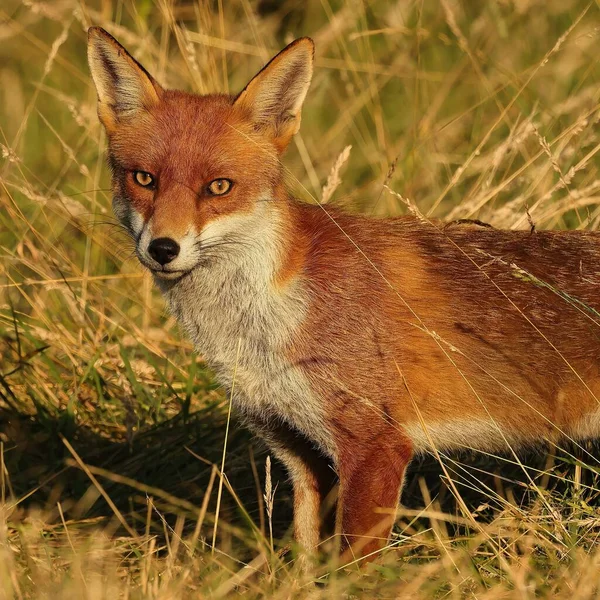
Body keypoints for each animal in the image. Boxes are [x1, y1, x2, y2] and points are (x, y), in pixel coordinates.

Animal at [88, 28, 600, 564]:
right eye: (144, 179)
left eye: (219, 187)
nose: (163, 248)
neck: (264, 319)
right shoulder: (299, 451)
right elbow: (305, 561)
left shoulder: (375, 445)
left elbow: (354, 567)